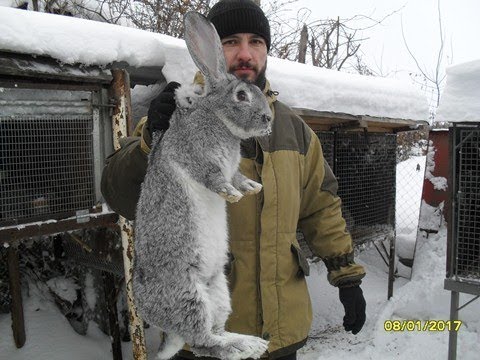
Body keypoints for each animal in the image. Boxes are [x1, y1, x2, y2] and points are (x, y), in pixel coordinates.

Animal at [133, 11, 272, 360]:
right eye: (241, 96)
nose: (268, 119)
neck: (217, 117)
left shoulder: (231, 167)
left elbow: (236, 176)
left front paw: (252, 188)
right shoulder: (196, 157)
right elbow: (213, 177)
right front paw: (231, 195)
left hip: (218, 291)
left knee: (209, 336)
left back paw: (248, 341)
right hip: (188, 295)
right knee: (202, 341)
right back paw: (244, 346)